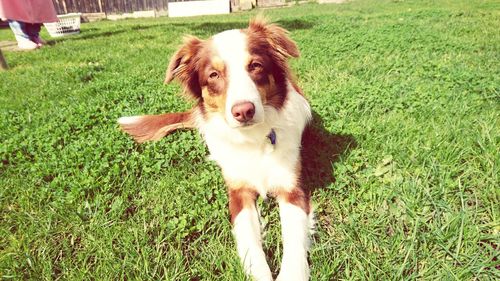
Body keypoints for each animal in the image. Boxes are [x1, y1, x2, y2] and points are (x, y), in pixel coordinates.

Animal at [118, 19, 312, 280]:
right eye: (214, 75)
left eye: (255, 66)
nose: (244, 111)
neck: (253, 138)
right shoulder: (238, 192)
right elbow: (249, 241)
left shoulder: (292, 188)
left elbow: (293, 241)